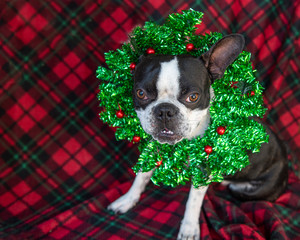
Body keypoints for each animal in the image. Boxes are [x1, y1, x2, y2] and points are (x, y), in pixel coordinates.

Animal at [108, 34, 288, 240]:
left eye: (193, 97)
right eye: (140, 93)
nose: (165, 111)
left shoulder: (202, 172)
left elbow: (193, 202)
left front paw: (188, 229)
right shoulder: (153, 150)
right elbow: (141, 176)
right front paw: (128, 200)